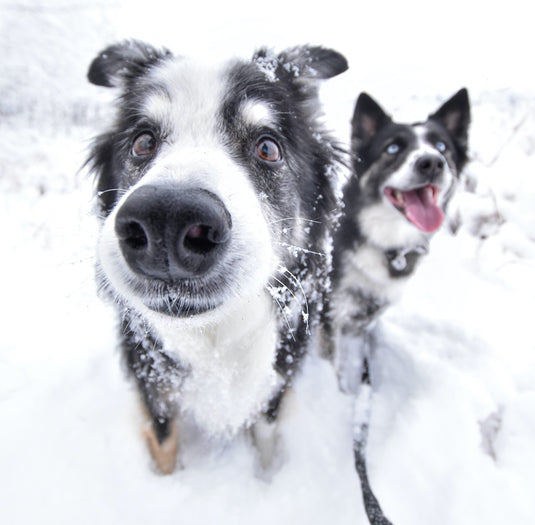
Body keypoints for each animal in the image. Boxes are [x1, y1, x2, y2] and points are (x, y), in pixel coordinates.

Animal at [87, 41, 348, 472]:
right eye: (143, 142)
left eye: (267, 147)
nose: (166, 220)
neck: (214, 336)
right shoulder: (152, 381)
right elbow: (164, 445)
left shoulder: (277, 377)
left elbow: (266, 435)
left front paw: (266, 475)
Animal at [324, 88, 472, 390]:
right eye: (392, 148)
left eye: (442, 147)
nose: (431, 162)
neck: (385, 243)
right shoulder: (332, 312)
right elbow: (334, 365)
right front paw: (340, 392)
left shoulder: (364, 317)